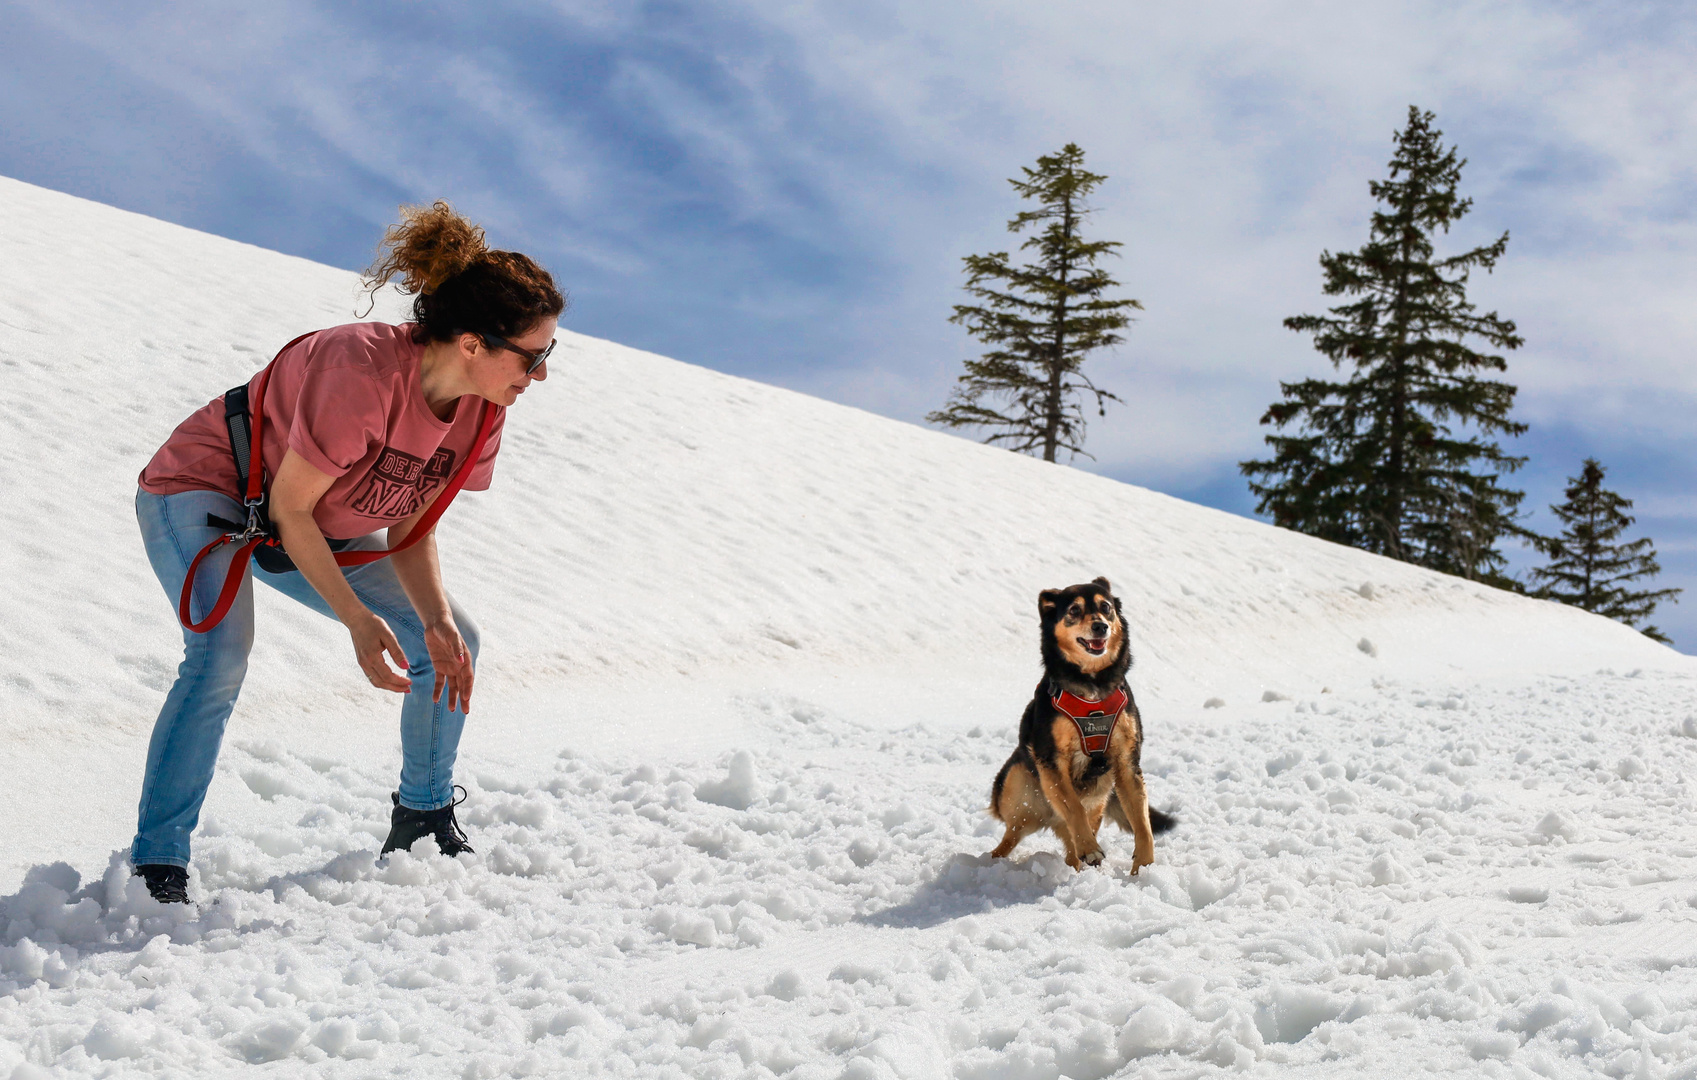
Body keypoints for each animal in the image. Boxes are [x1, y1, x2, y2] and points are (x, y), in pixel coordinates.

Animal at [991, 577, 1174, 876]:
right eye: (1074, 610)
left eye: (1106, 607)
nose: (1101, 626)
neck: (1092, 688)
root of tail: (1048, 818)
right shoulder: (1051, 761)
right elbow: (1074, 808)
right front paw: (1090, 849)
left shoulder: (1126, 763)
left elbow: (1143, 823)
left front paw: (1145, 870)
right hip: (1019, 787)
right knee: (1010, 837)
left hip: (1100, 792)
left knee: (1071, 846)